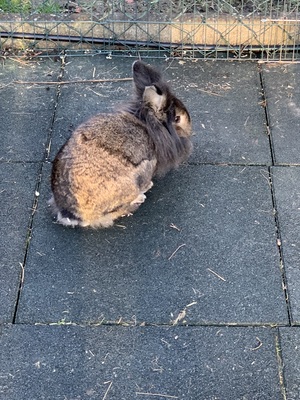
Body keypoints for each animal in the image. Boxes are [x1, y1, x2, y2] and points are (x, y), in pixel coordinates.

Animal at [49, 60, 192, 228]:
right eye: (177, 118)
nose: (190, 129)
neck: (148, 125)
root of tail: (72, 214)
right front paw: (148, 186)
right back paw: (140, 197)